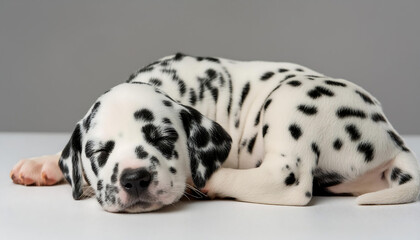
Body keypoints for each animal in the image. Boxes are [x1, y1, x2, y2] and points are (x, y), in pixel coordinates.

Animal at [10, 52, 420, 212]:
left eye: (164, 139)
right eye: (100, 153)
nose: (135, 178)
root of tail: (392, 138)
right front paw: (42, 164)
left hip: (289, 98)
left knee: (287, 181)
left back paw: (208, 184)